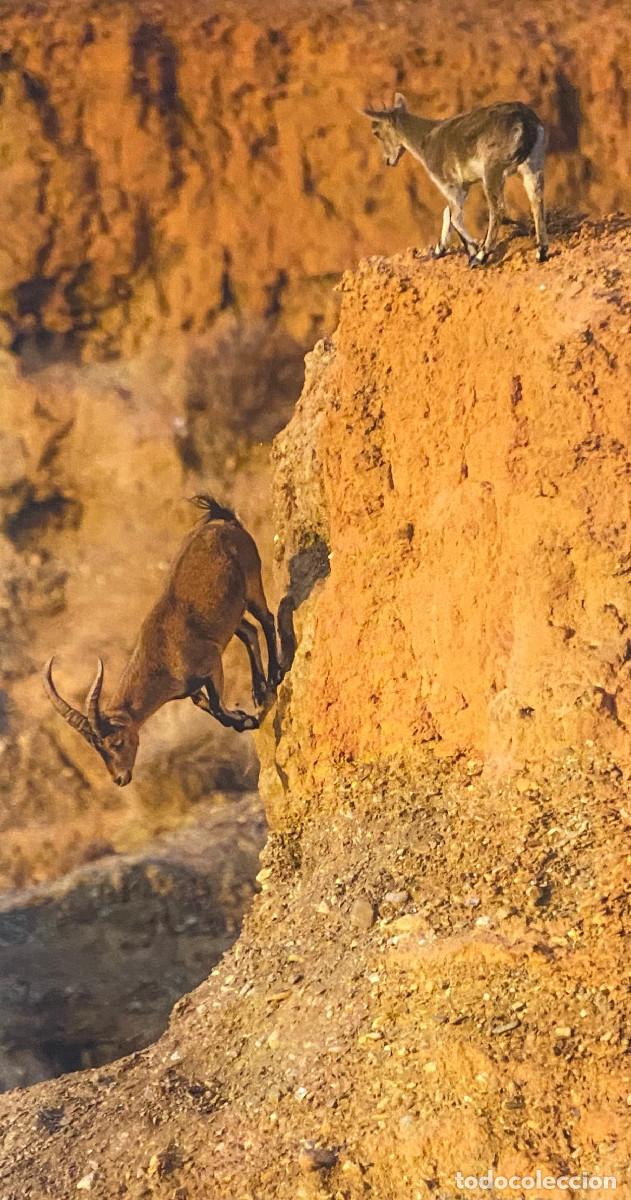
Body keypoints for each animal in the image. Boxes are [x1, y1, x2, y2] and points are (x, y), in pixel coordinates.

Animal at [43, 496, 282, 787]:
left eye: (117, 742)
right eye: (96, 748)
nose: (119, 778)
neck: (163, 659)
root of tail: (227, 523)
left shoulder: (211, 662)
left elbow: (217, 706)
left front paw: (247, 720)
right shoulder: (192, 690)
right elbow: (211, 709)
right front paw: (244, 719)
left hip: (251, 583)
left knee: (267, 620)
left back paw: (273, 677)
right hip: (233, 616)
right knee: (249, 632)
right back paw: (258, 691)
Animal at [362, 93, 548, 265]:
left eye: (376, 132)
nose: (388, 161)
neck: (425, 141)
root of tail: (526, 123)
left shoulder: (448, 183)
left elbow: (454, 216)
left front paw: (473, 249)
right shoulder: (463, 186)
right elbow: (448, 212)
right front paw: (440, 250)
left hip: (492, 169)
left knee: (498, 209)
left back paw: (481, 256)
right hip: (534, 164)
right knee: (536, 201)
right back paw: (541, 252)